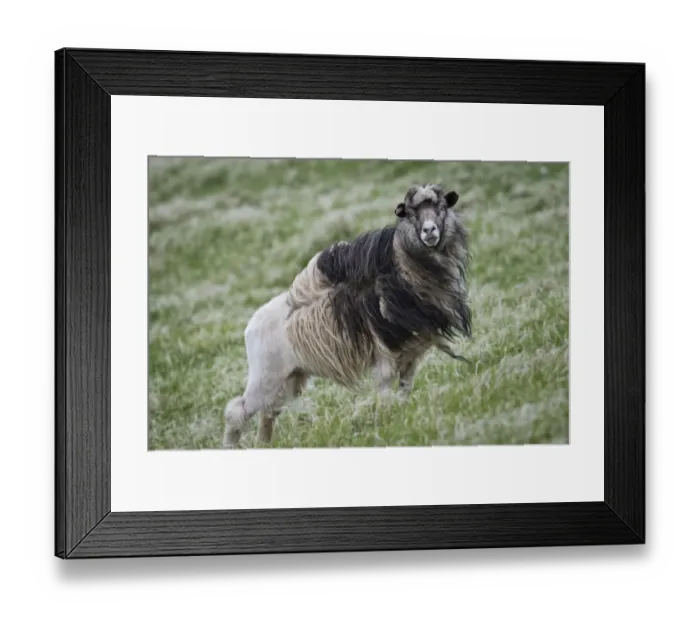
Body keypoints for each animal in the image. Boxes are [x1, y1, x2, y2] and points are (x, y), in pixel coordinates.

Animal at [222, 183, 471, 448]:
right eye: (411, 213)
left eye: (442, 208)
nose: (429, 231)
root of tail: (250, 325)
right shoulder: (385, 357)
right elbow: (386, 393)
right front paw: (388, 421)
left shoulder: (410, 356)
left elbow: (404, 391)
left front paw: (403, 416)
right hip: (265, 377)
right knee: (237, 411)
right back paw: (231, 445)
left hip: (288, 378)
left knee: (268, 413)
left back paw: (265, 444)